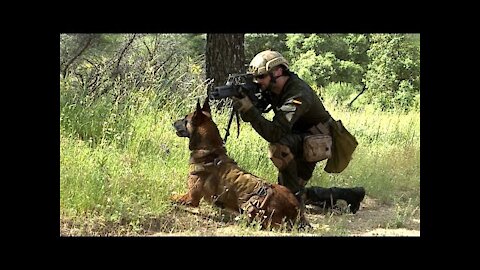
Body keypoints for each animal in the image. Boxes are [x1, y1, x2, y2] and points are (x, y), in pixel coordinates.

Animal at [172, 98, 300, 229]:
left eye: (185, 119)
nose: (173, 122)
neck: (209, 151)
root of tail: (295, 207)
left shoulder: (191, 198)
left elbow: (172, 197)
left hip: (255, 211)